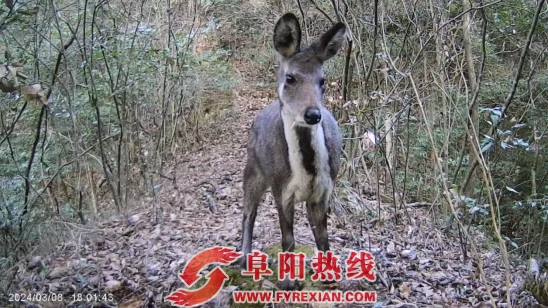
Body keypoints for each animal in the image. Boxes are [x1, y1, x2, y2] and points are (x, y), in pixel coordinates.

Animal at [241, 12, 344, 292]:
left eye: (322, 80)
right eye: (290, 78)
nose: (313, 114)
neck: (305, 170)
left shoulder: (324, 189)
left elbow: (323, 236)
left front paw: (329, 276)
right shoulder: (281, 189)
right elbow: (287, 238)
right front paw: (288, 282)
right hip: (252, 170)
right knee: (248, 212)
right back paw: (243, 259)